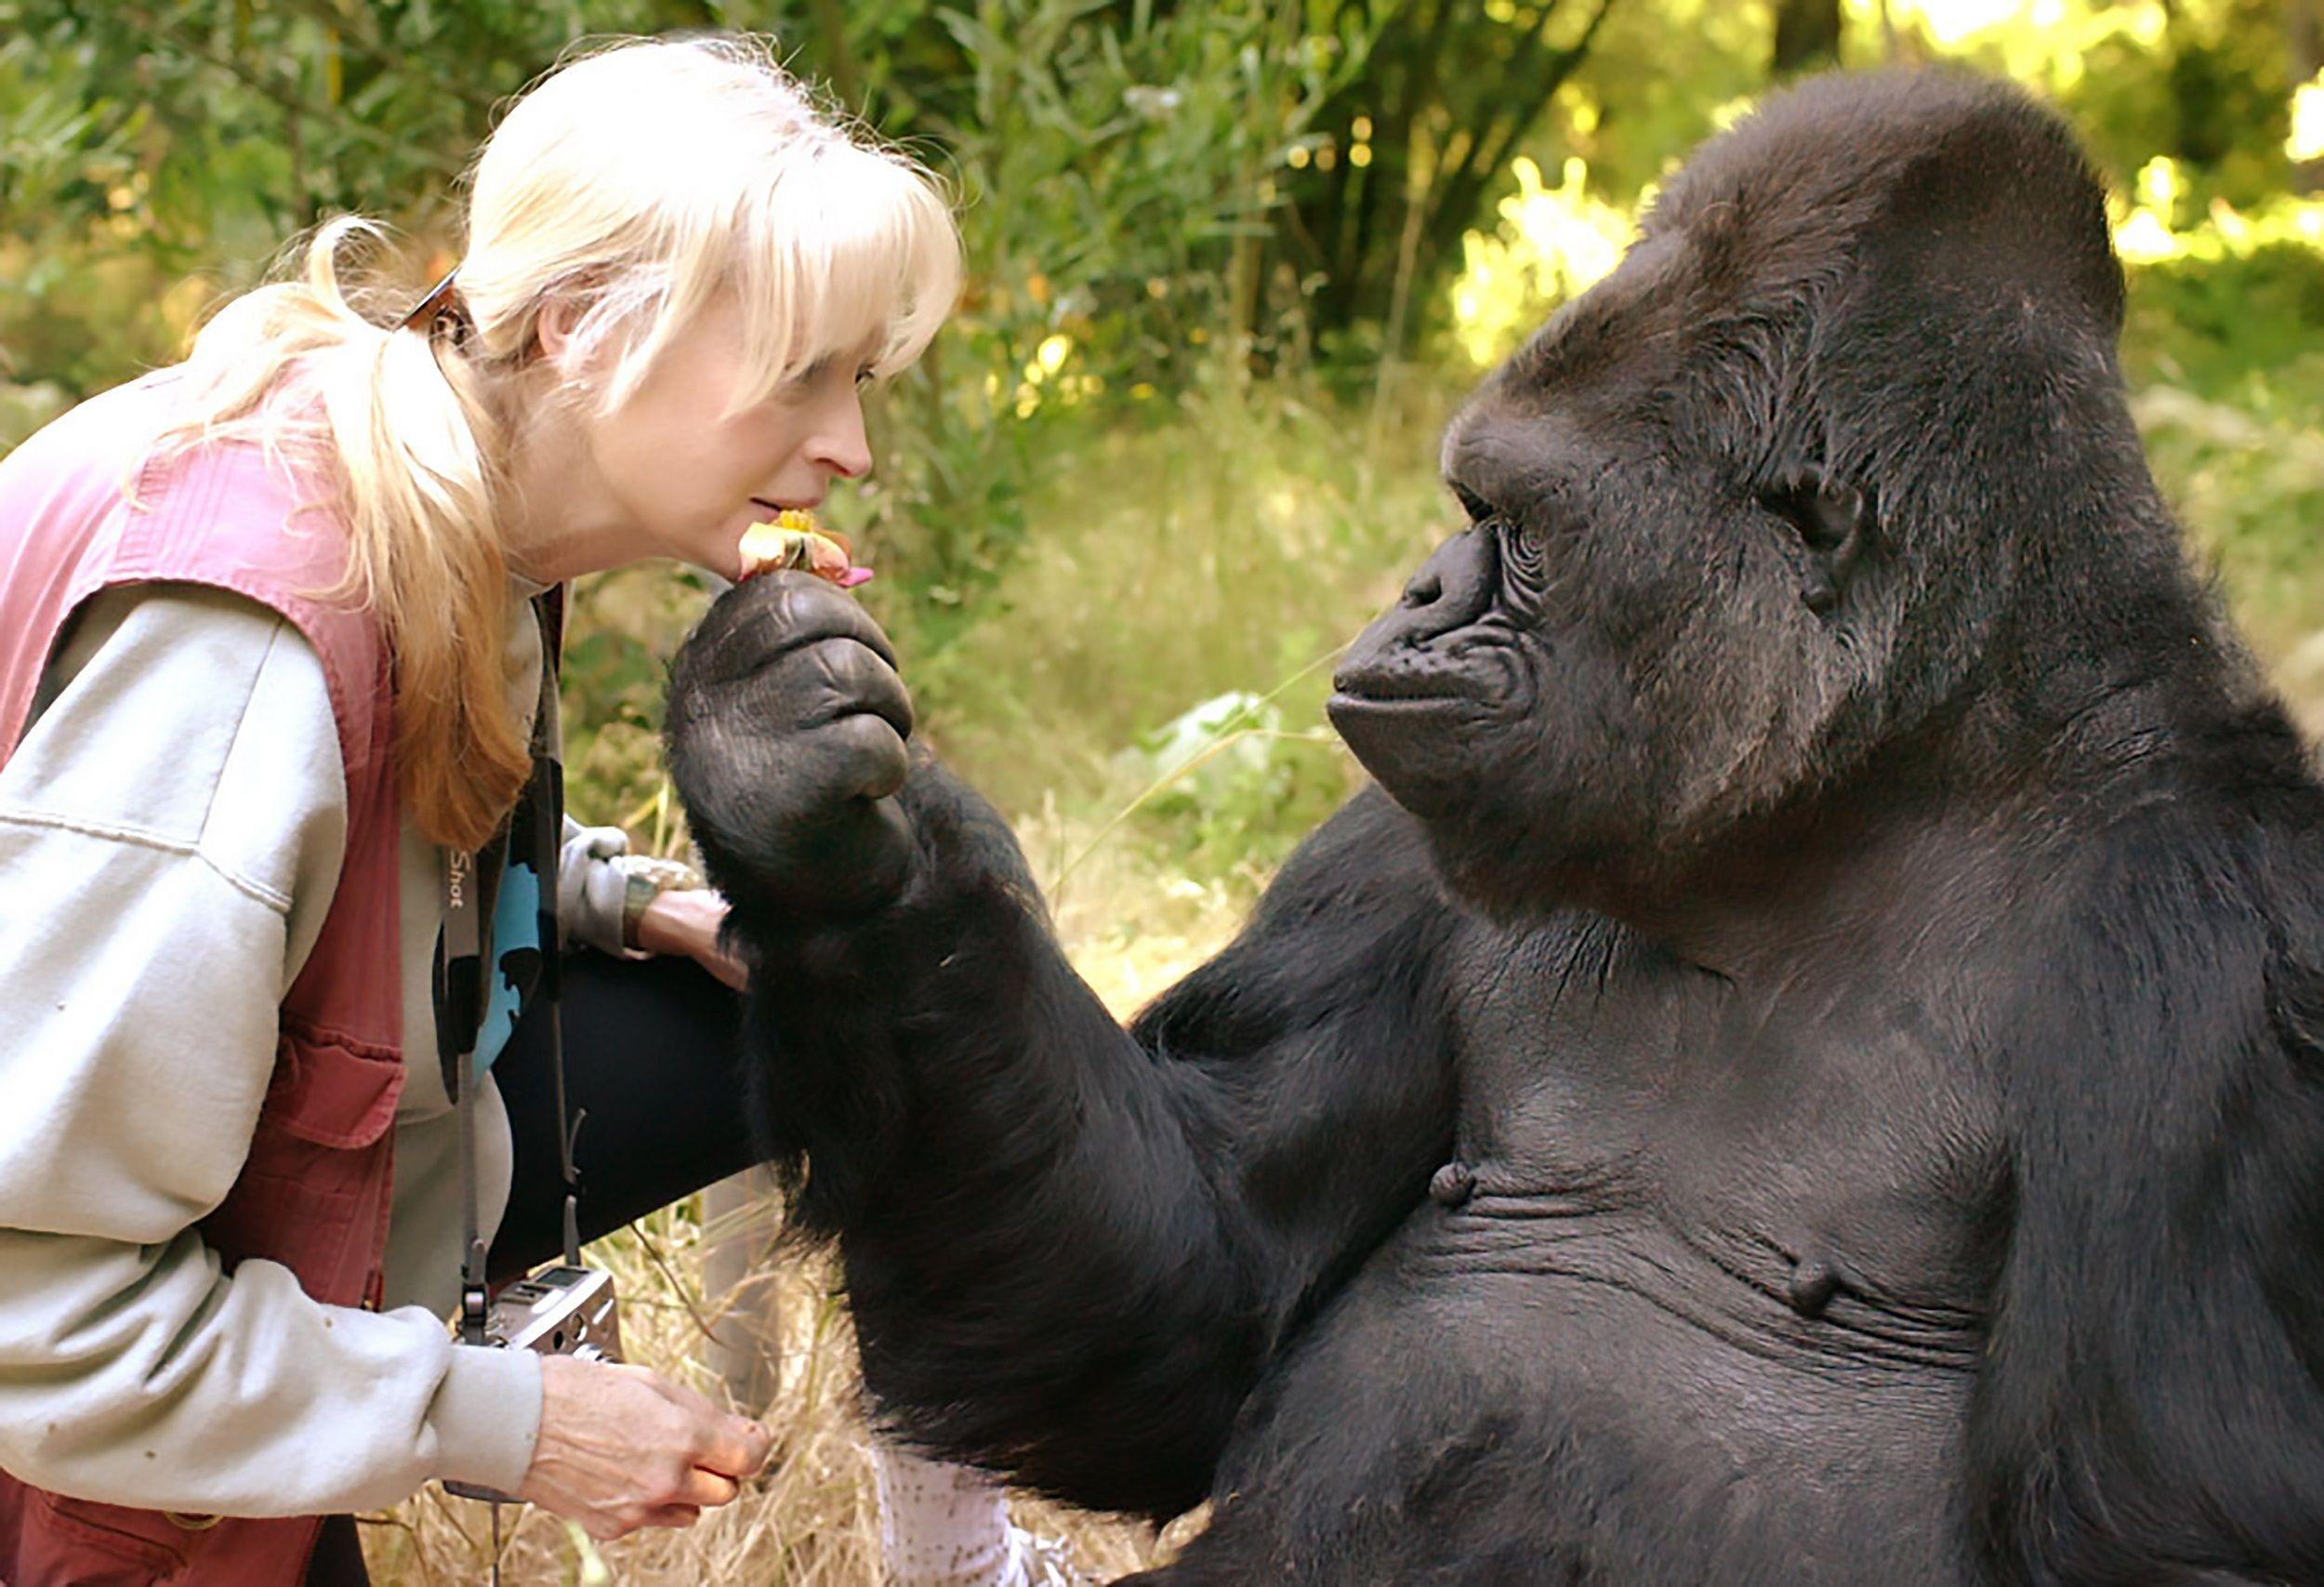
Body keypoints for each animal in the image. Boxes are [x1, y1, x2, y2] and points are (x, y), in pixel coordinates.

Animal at [665, 71, 2324, 1580]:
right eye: (1468, 507)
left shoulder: (2234, 967)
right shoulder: (1401, 845)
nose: (1415, 592)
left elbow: (2169, 1528)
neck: (1868, 783)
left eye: (1514, 529)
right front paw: (820, 833)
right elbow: (1194, 1284)